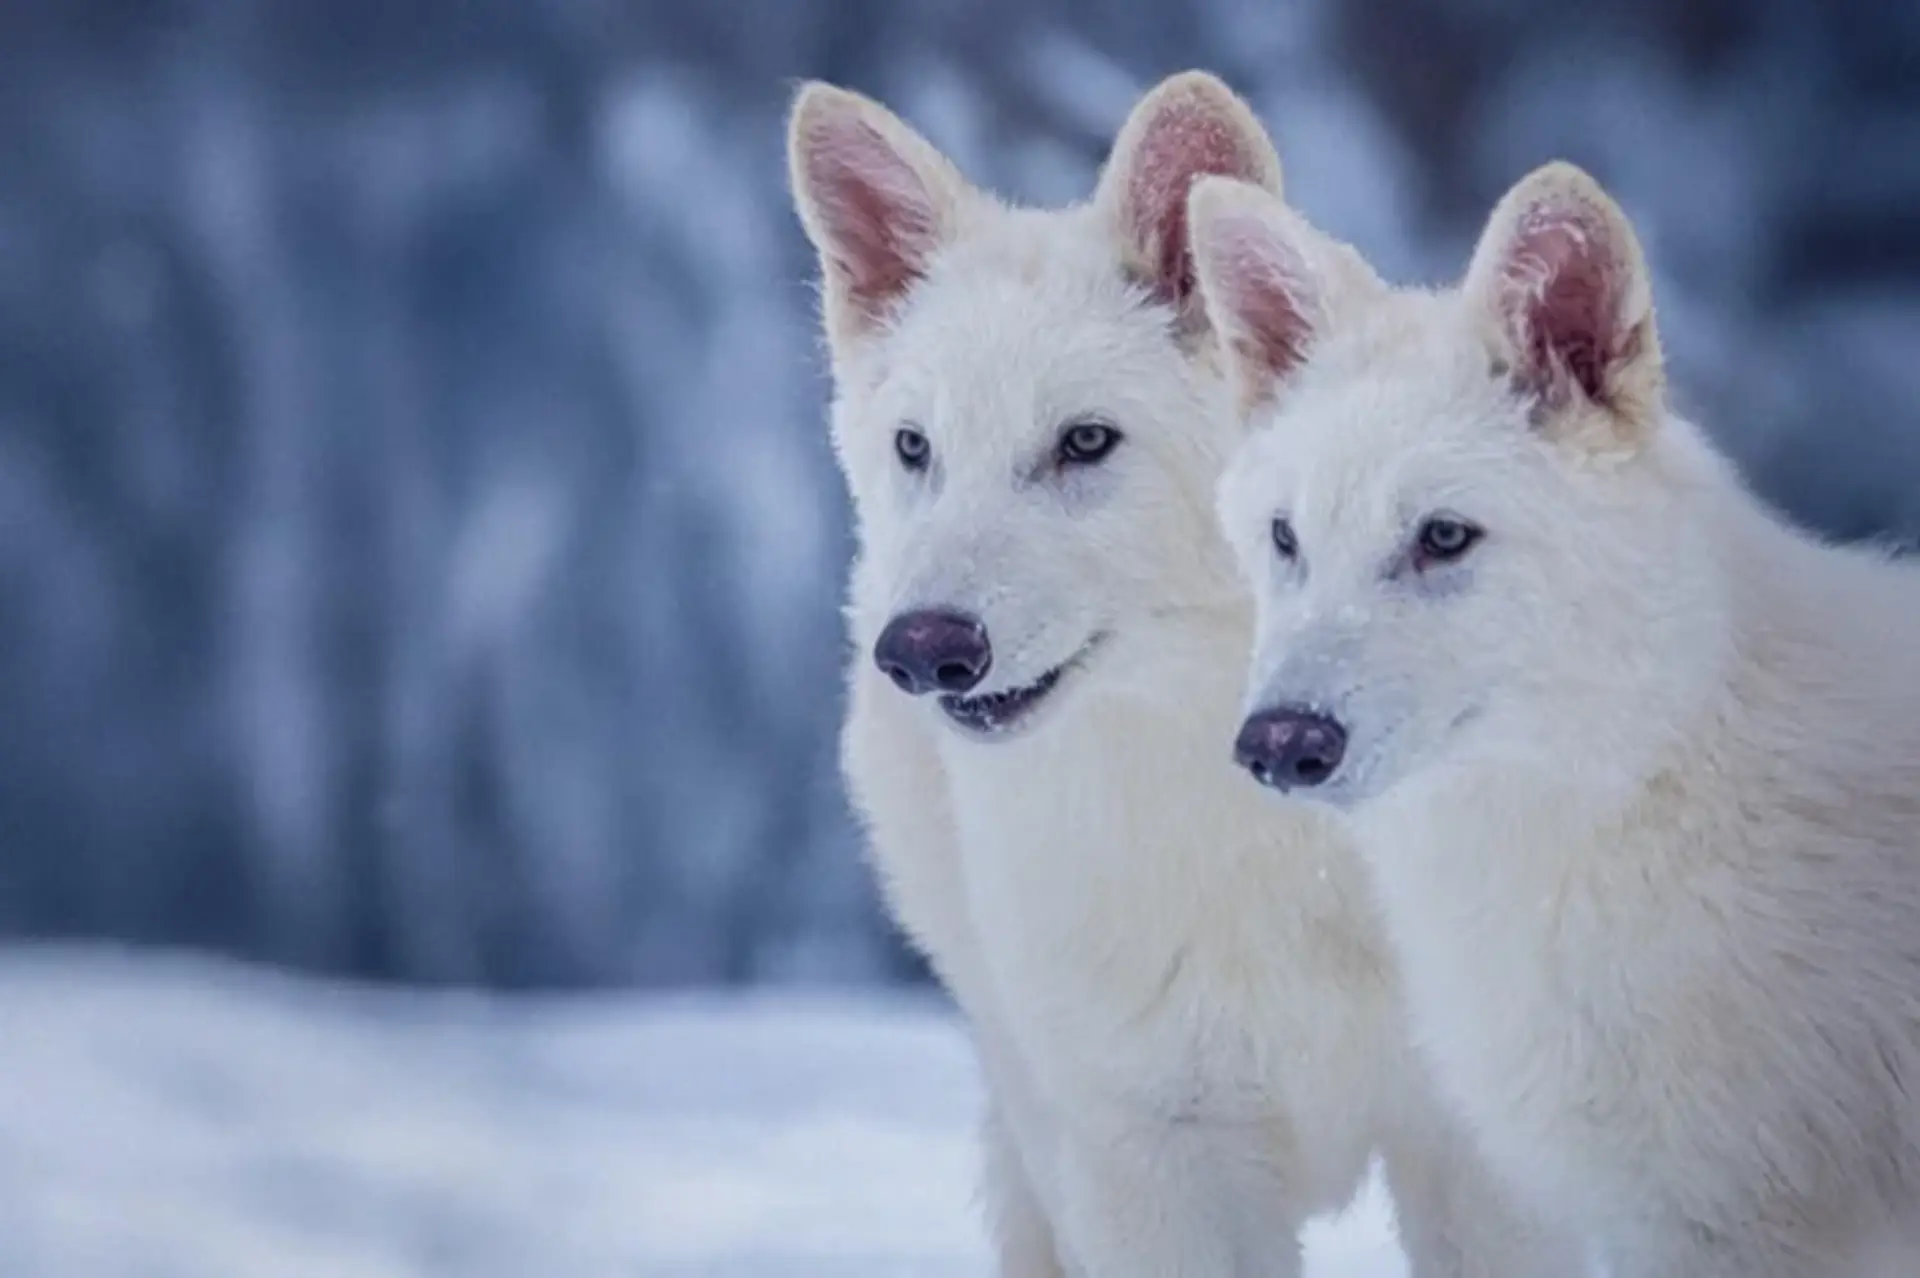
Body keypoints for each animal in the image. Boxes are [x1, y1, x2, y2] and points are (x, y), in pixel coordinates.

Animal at [786, 72, 1580, 1277]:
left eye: (1084, 443)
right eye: (917, 448)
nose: (921, 649)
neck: (1263, 836)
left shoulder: (1478, 1157)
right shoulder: (1151, 1160)